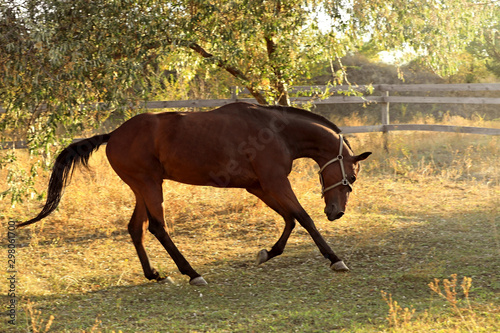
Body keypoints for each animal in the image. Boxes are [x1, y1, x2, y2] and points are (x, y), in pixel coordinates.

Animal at [17, 102, 372, 286]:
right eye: (351, 177)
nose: (336, 212)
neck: (277, 131)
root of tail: (113, 134)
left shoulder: (259, 186)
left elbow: (289, 219)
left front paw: (267, 253)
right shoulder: (274, 182)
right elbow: (303, 218)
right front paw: (336, 259)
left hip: (142, 187)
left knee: (135, 228)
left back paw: (155, 275)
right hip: (150, 185)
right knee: (157, 227)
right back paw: (192, 274)